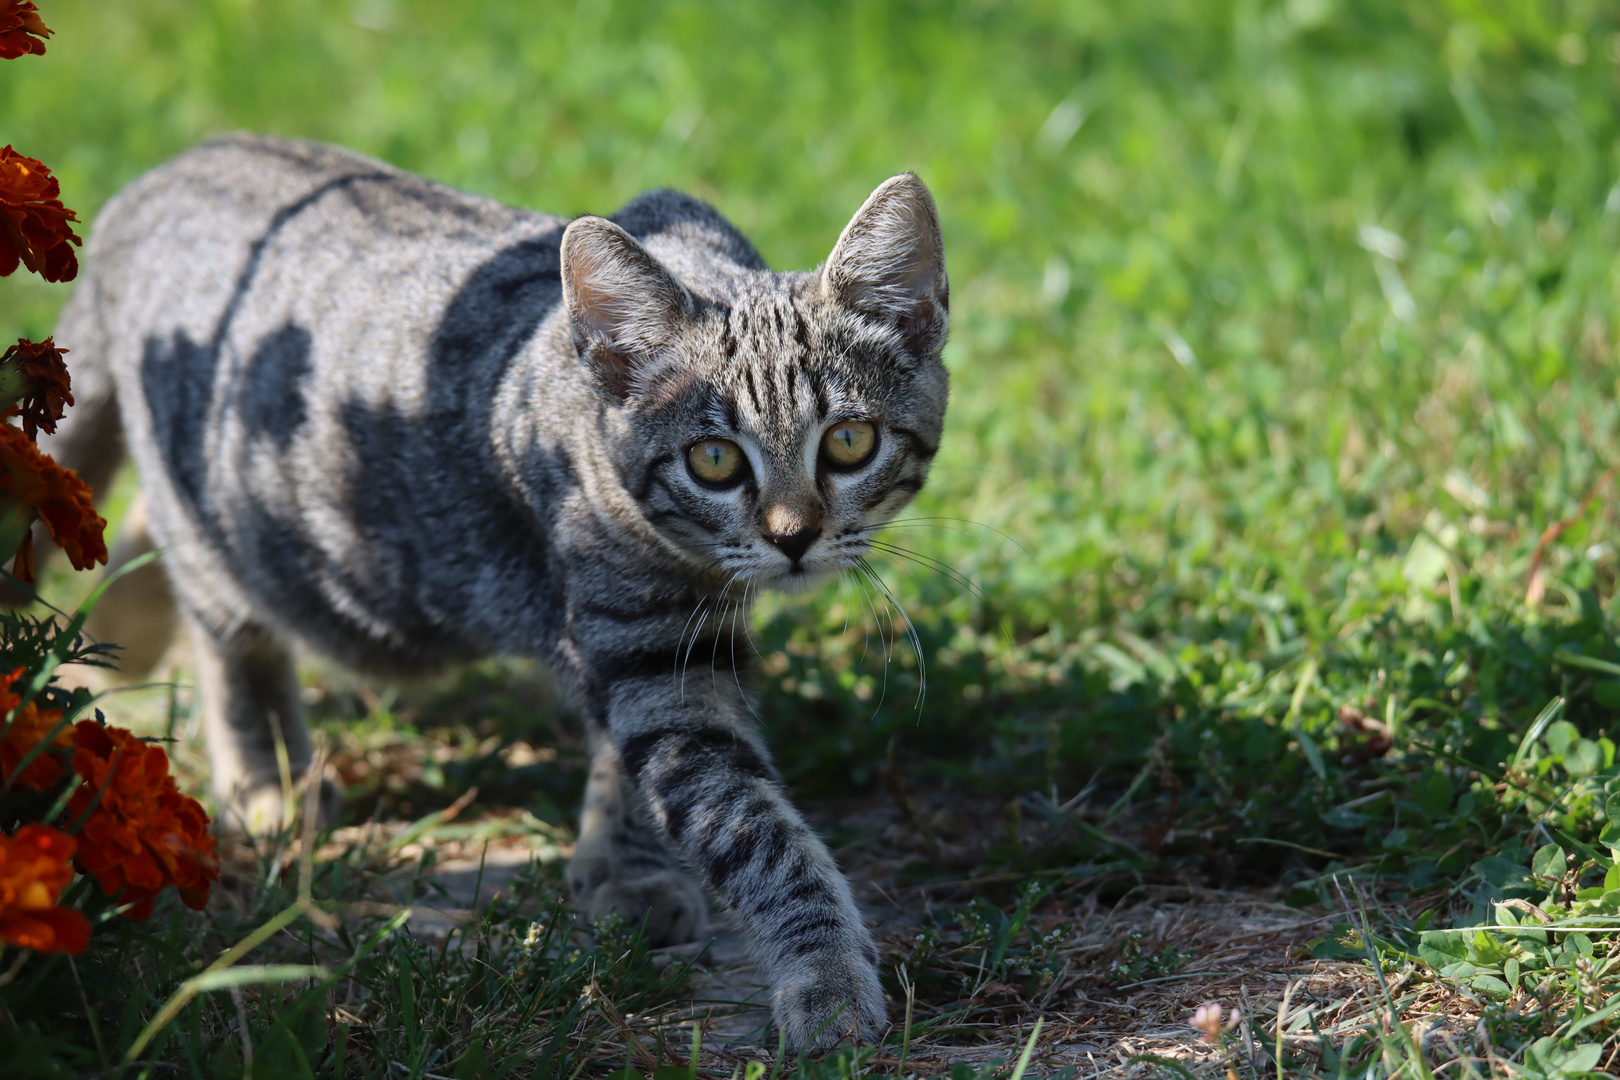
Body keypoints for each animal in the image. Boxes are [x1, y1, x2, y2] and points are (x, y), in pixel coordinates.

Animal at [44, 135, 946, 1049]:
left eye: (849, 441)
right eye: (715, 460)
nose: (793, 537)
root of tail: (173, 168)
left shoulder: (661, 643)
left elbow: (629, 764)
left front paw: (620, 864)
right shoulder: (647, 648)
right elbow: (756, 830)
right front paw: (825, 973)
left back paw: (125, 628)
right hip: (228, 512)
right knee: (226, 624)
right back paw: (266, 774)